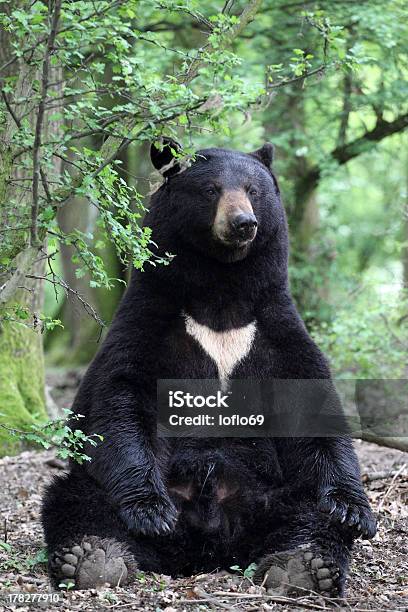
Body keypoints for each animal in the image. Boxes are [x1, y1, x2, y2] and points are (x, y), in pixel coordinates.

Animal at [41, 141, 376, 596]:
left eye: (253, 190)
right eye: (212, 189)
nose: (243, 223)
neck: (222, 293)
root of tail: (211, 544)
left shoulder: (273, 327)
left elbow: (312, 407)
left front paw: (354, 509)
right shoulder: (152, 315)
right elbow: (120, 396)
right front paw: (149, 510)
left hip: (276, 496)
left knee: (310, 511)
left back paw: (304, 565)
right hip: (104, 492)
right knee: (76, 498)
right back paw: (94, 556)